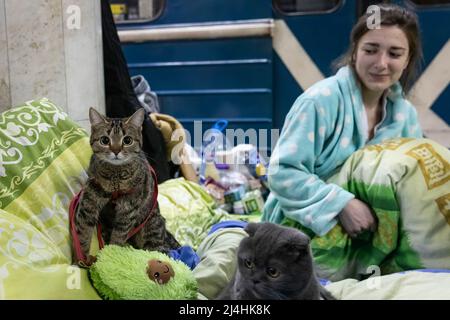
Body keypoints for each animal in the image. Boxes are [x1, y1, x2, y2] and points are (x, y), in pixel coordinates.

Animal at [72, 107, 179, 264]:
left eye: (127, 140)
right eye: (105, 140)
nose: (116, 151)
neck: (115, 178)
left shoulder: (128, 210)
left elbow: (118, 237)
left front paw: (110, 256)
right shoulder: (89, 202)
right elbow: (82, 234)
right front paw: (79, 261)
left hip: (152, 226)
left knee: (158, 250)